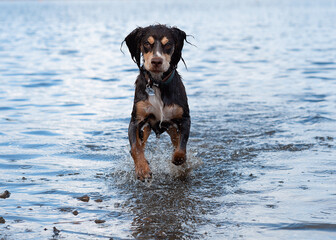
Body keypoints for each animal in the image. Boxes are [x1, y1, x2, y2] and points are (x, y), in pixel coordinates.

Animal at [124, 25, 192, 181]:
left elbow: (181, 147)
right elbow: (135, 147)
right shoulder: (135, 120)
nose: (156, 61)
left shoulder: (184, 118)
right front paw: (142, 169)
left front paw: (178, 159)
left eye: (168, 44)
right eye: (146, 43)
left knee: (176, 139)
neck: (157, 84)